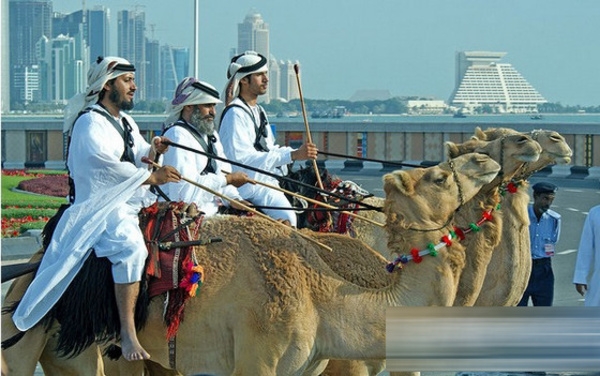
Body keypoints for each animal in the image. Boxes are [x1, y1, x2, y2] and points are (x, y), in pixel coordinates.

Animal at [2, 153, 500, 376]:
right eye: (440, 176)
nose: (487, 162)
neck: (324, 294)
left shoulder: (310, 366)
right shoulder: (259, 356)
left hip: (77, 352)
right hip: (24, 335)